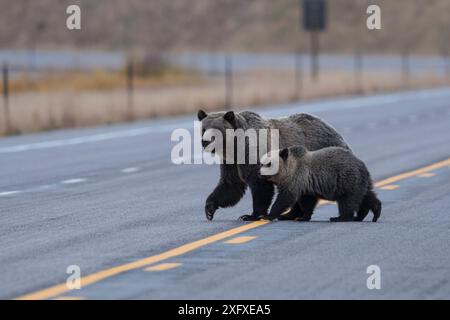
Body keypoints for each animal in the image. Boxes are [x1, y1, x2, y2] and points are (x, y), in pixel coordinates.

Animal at [198, 109, 352, 221]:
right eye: (204, 129)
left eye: (216, 130)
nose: (205, 141)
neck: (235, 147)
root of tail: (340, 136)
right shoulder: (231, 162)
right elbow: (230, 185)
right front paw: (209, 209)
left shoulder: (255, 156)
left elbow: (260, 186)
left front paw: (251, 215)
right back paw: (290, 214)